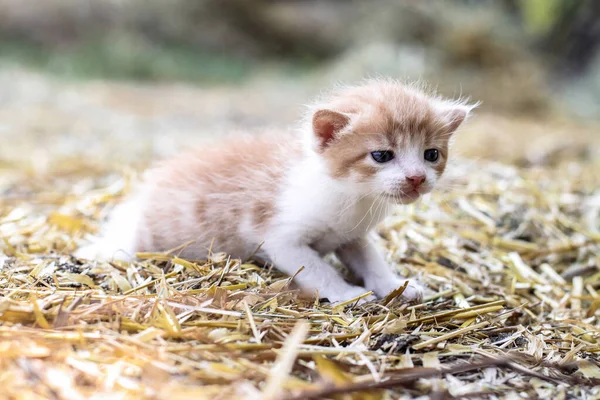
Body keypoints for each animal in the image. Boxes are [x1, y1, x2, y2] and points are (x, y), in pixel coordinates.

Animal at [77, 79, 476, 304]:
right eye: (381, 155)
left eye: (431, 154)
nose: (416, 178)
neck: (350, 196)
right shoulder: (279, 237)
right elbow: (318, 268)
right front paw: (347, 293)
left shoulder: (352, 236)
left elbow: (371, 259)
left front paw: (395, 285)